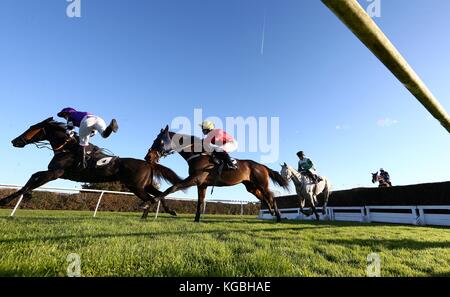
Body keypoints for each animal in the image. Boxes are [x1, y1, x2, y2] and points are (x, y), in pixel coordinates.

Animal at [0, 117, 183, 216]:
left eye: (31, 128)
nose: (15, 141)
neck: (67, 147)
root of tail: (148, 162)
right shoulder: (54, 172)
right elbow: (33, 176)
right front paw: (24, 195)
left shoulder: (56, 172)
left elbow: (33, 182)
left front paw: (5, 200)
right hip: (145, 185)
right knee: (159, 195)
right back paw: (170, 211)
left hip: (136, 187)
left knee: (151, 199)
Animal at [142, 125, 290, 222]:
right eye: (154, 140)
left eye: (160, 141)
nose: (148, 157)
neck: (198, 155)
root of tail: (262, 166)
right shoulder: (202, 185)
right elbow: (200, 202)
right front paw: (197, 219)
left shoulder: (194, 179)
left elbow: (172, 187)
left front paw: (149, 203)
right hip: (251, 187)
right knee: (264, 198)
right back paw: (271, 213)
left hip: (262, 184)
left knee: (271, 197)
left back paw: (278, 217)